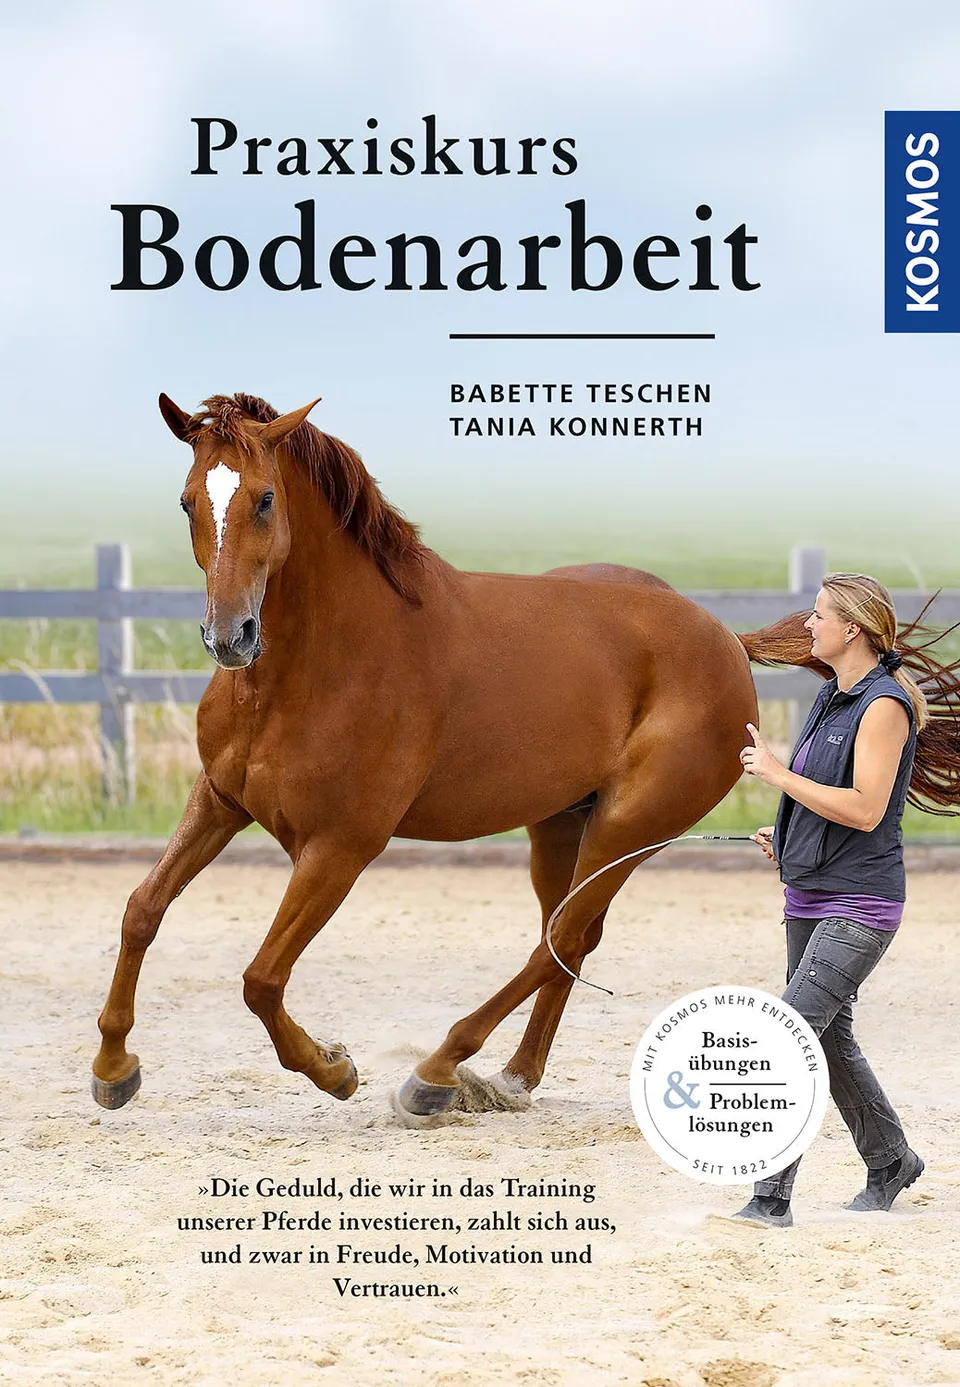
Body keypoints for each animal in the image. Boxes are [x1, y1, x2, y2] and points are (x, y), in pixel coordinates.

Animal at [91, 393, 819, 1122]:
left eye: (265, 499)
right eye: (187, 501)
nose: (230, 637)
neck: (319, 662)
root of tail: (728, 640)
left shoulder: (340, 847)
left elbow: (261, 978)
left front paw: (334, 1069)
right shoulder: (220, 799)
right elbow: (140, 910)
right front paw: (113, 1067)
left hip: (628, 828)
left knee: (558, 941)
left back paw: (436, 1072)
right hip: (559, 824)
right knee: (567, 939)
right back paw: (511, 1078)